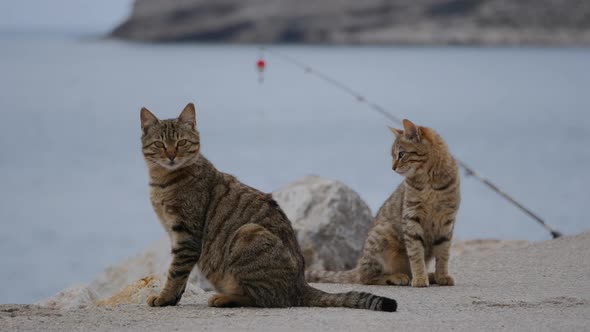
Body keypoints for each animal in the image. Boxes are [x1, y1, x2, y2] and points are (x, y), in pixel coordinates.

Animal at [140, 103, 398, 312]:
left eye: (181, 143)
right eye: (160, 144)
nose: (171, 156)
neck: (163, 181)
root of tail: (301, 283)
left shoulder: (186, 235)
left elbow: (176, 272)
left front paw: (165, 298)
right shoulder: (176, 234)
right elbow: (179, 275)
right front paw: (172, 298)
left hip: (247, 233)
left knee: (266, 298)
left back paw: (225, 298)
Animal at [308, 120, 464, 288]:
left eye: (401, 154)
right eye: (393, 155)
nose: (393, 167)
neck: (429, 181)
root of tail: (358, 265)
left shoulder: (447, 220)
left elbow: (443, 253)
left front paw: (442, 275)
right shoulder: (411, 217)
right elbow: (416, 254)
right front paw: (420, 278)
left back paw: (430, 275)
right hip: (383, 234)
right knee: (366, 278)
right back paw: (397, 277)